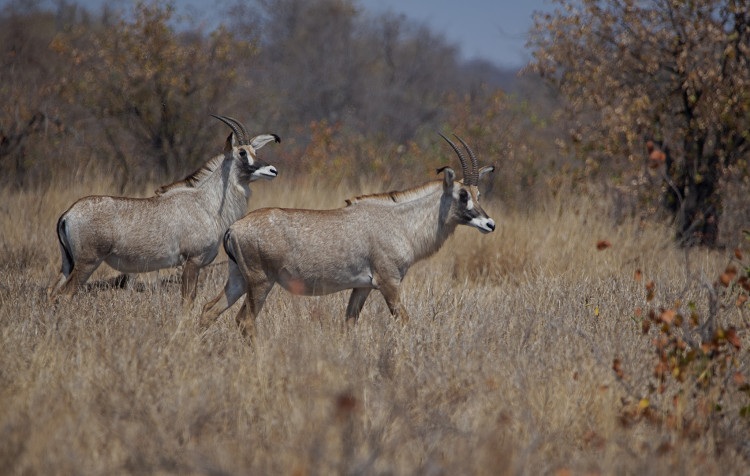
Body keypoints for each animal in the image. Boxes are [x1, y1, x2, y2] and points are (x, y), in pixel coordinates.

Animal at [49, 115, 282, 304]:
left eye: (255, 151)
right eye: (242, 153)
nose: (273, 170)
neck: (207, 204)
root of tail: (68, 214)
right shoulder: (192, 261)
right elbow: (187, 300)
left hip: (69, 263)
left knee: (53, 292)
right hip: (87, 262)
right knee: (64, 294)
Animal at [200, 134, 496, 338]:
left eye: (479, 194)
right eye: (463, 195)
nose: (489, 223)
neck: (400, 222)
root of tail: (234, 228)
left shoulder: (362, 287)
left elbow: (349, 325)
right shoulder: (389, 282)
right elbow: (404, 322)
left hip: (239, 279)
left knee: (210, 310)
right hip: (261, 282)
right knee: (245, 321)